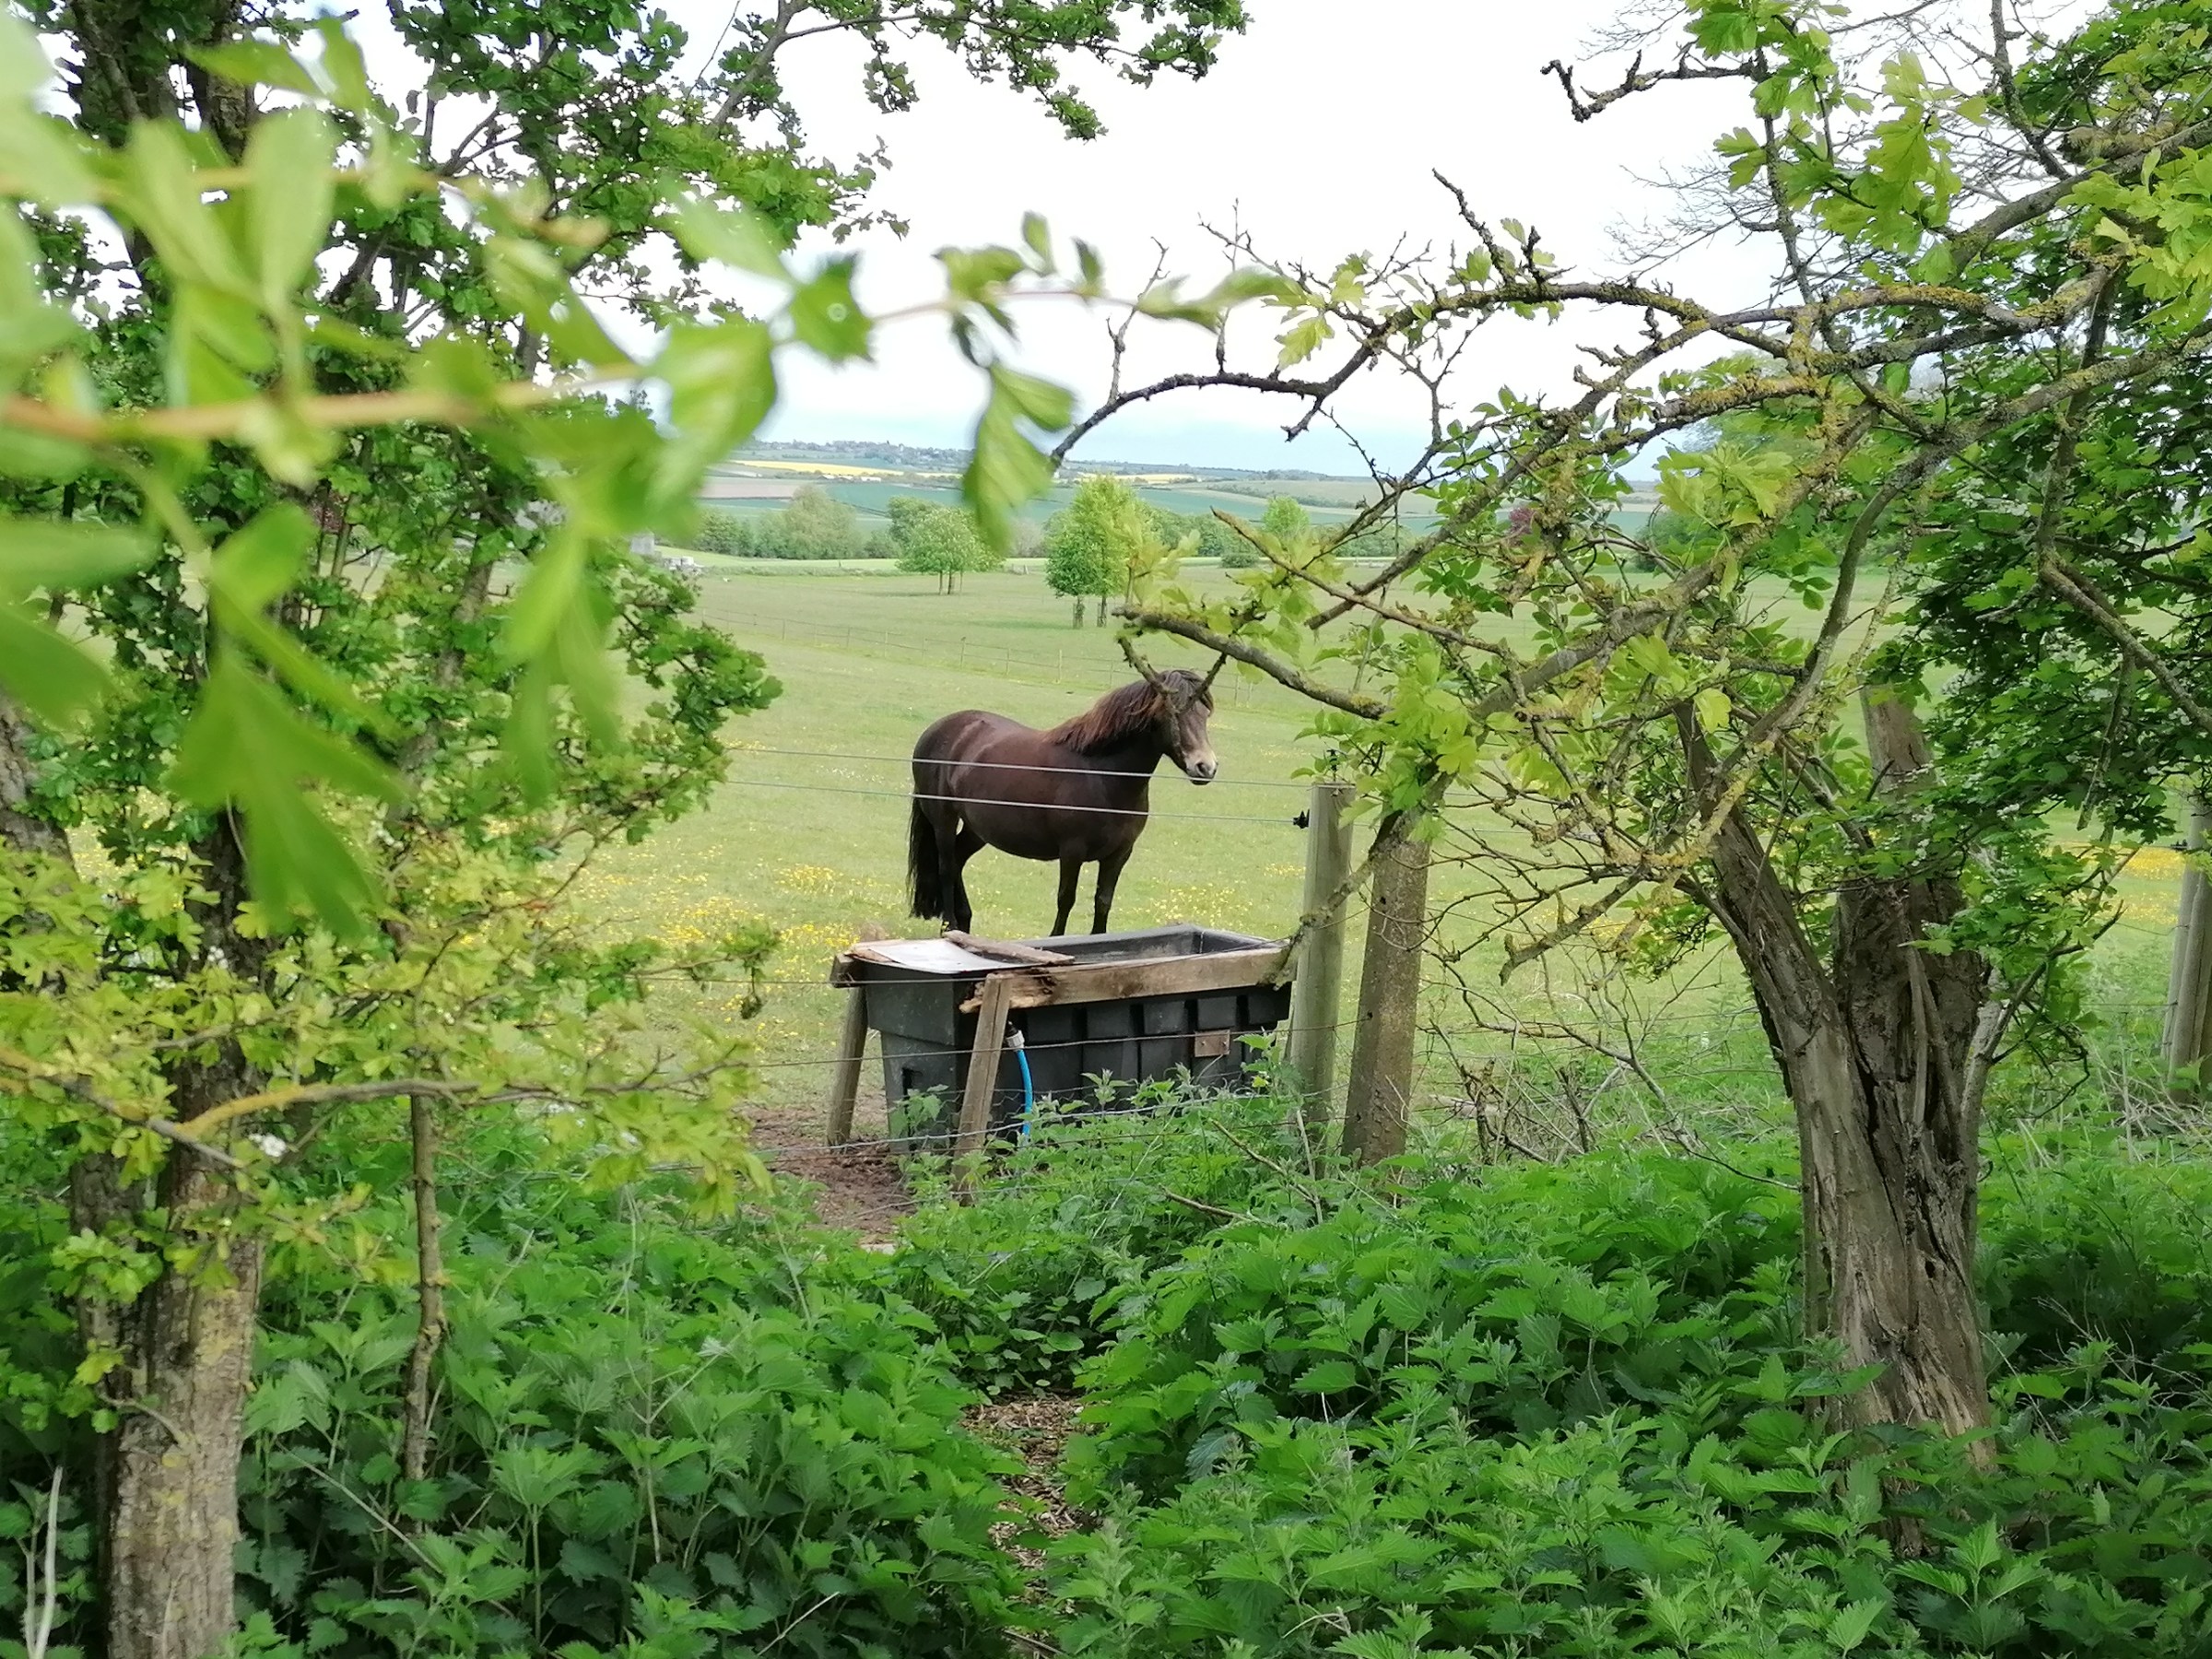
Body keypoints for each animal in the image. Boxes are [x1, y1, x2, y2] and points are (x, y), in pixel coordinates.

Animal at [907, 668, 1219, 938]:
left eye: (1204, 713)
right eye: (1173, 711)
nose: (1206, 767)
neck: (1102, 776)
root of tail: (939, 730)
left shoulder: (1119, 854)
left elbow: (1103, 901)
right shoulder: (1072, 851)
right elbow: (1066, 899)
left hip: (977, 829)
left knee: (958, 860)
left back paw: (965, 923)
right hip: (944, 821)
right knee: (946, 867)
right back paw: (950, 927)